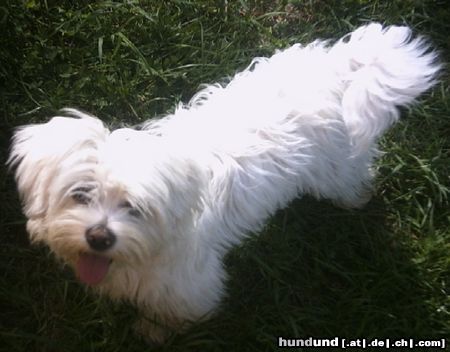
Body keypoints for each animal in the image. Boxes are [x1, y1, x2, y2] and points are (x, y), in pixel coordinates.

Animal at [7, 23, 440, 342]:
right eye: (80, 194)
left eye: (134, 208)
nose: (99, 237)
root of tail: (336, 70)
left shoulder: (188, 284)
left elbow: (175, 315)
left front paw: (153, 333)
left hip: (335, 165)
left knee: (351, 177)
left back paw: (355, 199)